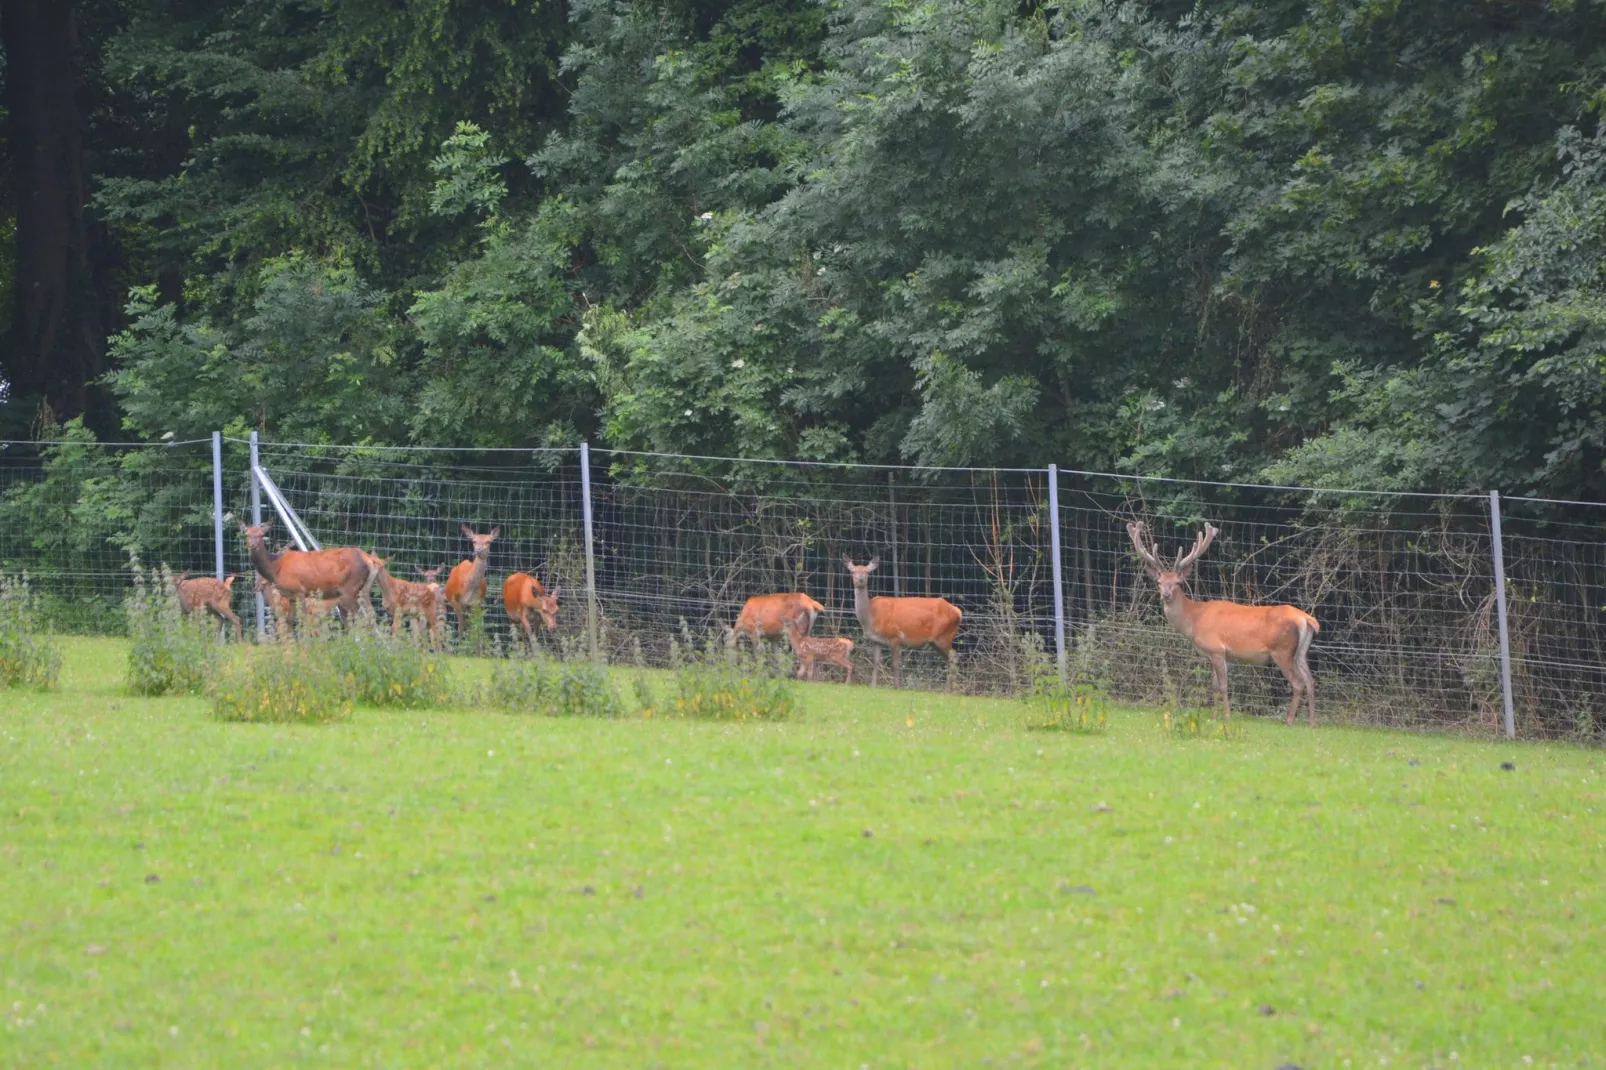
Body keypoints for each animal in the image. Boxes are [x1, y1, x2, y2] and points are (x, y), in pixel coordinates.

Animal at [237, 517, 369, 633]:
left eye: (261, 534)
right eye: (246, 534)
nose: (253, 546)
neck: (276, 567)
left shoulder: (300, 592)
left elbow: (302, 622)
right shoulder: (291, 598)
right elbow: (290, 622)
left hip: (348, 592)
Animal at [847, 552, 957, 687]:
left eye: (867, 572)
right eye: (853, 571)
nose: (860, 580)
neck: (871, 616)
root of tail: (958, 611)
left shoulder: (895, 636)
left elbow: (895, 664)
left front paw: (897, 687)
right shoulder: (876, 640)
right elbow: (876, 662)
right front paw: (873, 686)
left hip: (944, 636)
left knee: (953, 658)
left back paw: (947, 689)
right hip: (936, 641)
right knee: (949, 660)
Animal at [1124, 517, 1323, 726]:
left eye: (1178, 582)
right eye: (1159, 582)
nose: (1166, 595)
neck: (1194, 619)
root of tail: (1307, 619)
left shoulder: (1217, 648)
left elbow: (1223, 685)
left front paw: (1226, 717)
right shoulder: (1213, 654)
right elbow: (1214, 686)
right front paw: (1213, 717)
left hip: (1282, 650)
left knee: (1298, 683)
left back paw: (1289, 720)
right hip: (1300, 652)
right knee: (1310, 681)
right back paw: (1312, 723)